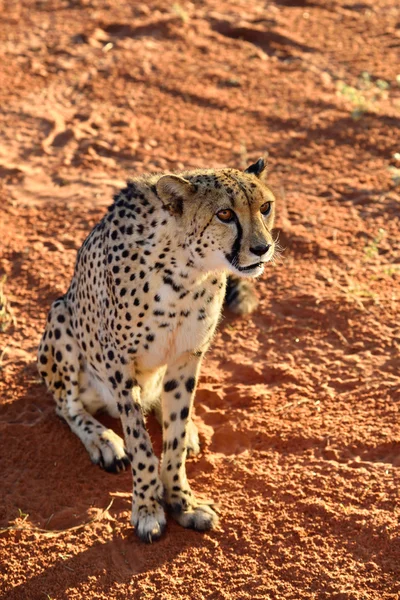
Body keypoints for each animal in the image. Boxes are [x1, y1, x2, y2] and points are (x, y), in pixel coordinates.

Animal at [38, 157, 276, 540]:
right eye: (225, 214)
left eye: (265, 207)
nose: (262, 248)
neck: (188, 270)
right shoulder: (119, 365)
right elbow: (140, 445)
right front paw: (148, 508)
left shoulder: (187, 357)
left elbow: (173, 442)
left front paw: (183, 502)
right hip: (61, 318)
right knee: (66, 406)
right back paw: (103, 440)